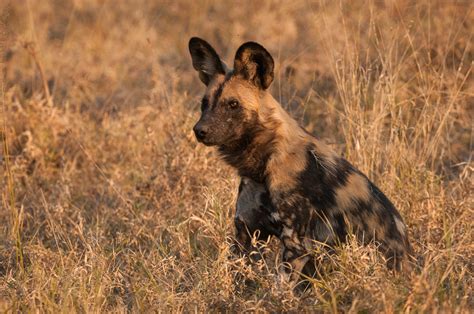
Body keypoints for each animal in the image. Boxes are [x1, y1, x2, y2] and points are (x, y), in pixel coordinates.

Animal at [188, 37, 412, 284]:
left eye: (233, 104)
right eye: (204, 103)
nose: (199, 130)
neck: (263, 163)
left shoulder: (295, 246)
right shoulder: (246, 235)